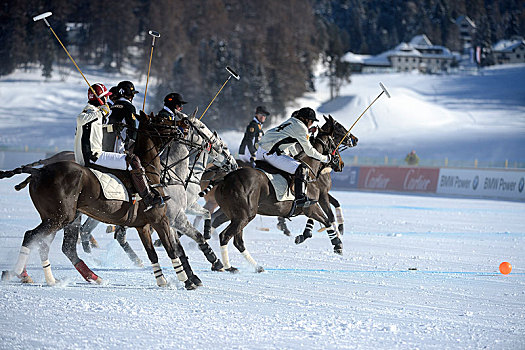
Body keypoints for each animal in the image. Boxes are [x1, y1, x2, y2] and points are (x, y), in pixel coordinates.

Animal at [0, 110, 199, 288]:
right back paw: (21, 273)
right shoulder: (160, 219)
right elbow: (171, 248)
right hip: (59, 217)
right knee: (32, 236)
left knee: (53, 246)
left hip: (62, 218)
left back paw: (66, 278)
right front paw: (186, 280)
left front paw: (162, 280)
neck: (150, 174)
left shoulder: (142, 225)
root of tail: (39, 172)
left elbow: (153, 254)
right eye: (163, 120)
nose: (182, 127)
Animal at [211, 114, 354, 270]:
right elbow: (327, 219)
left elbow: (326, 217)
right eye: (334, 143)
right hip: (244, 215)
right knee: (226, 236)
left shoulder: (315, 202)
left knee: (225, 230)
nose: (341, 164)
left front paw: (305, 235)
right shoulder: (311, 206)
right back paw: (228, 266)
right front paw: (338, 245)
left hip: (233, 213)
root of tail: (226, 178)